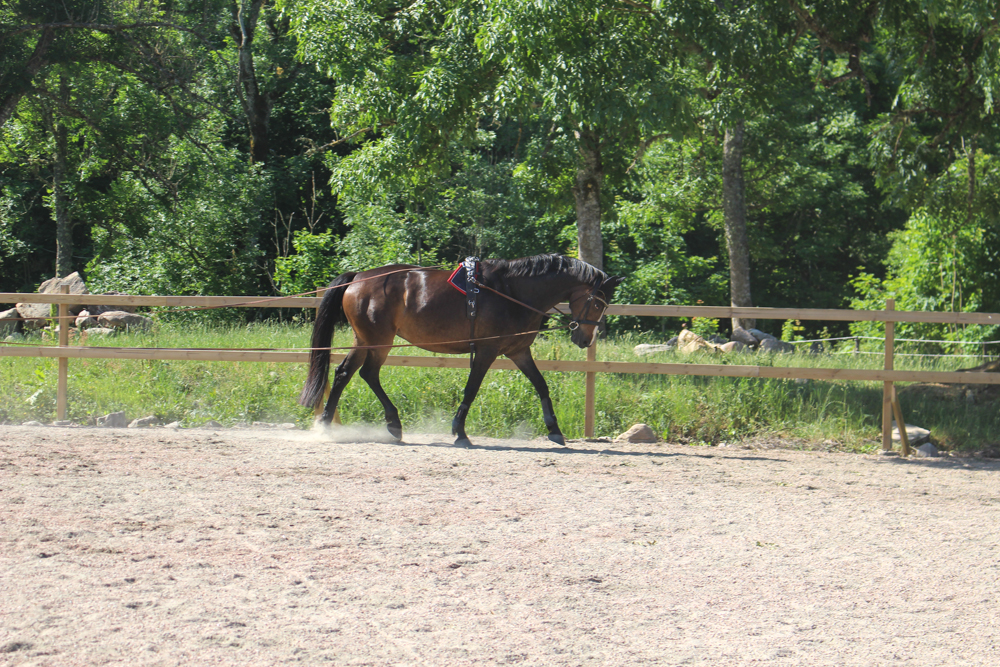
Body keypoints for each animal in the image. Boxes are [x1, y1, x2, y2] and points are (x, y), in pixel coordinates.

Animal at [299, 254, 624, 447]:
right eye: (597, 303)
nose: (585, 339)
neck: (512, 292)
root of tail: (358, 278)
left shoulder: (518, 351)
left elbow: (541, 385)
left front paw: (554, 429)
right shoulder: (487, 350)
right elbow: (471, 389)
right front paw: (460, 432)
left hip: (364, 339)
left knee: (345, 373)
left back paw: (327, 425)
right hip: (379, 340)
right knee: (367, 373)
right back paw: (392, 423)